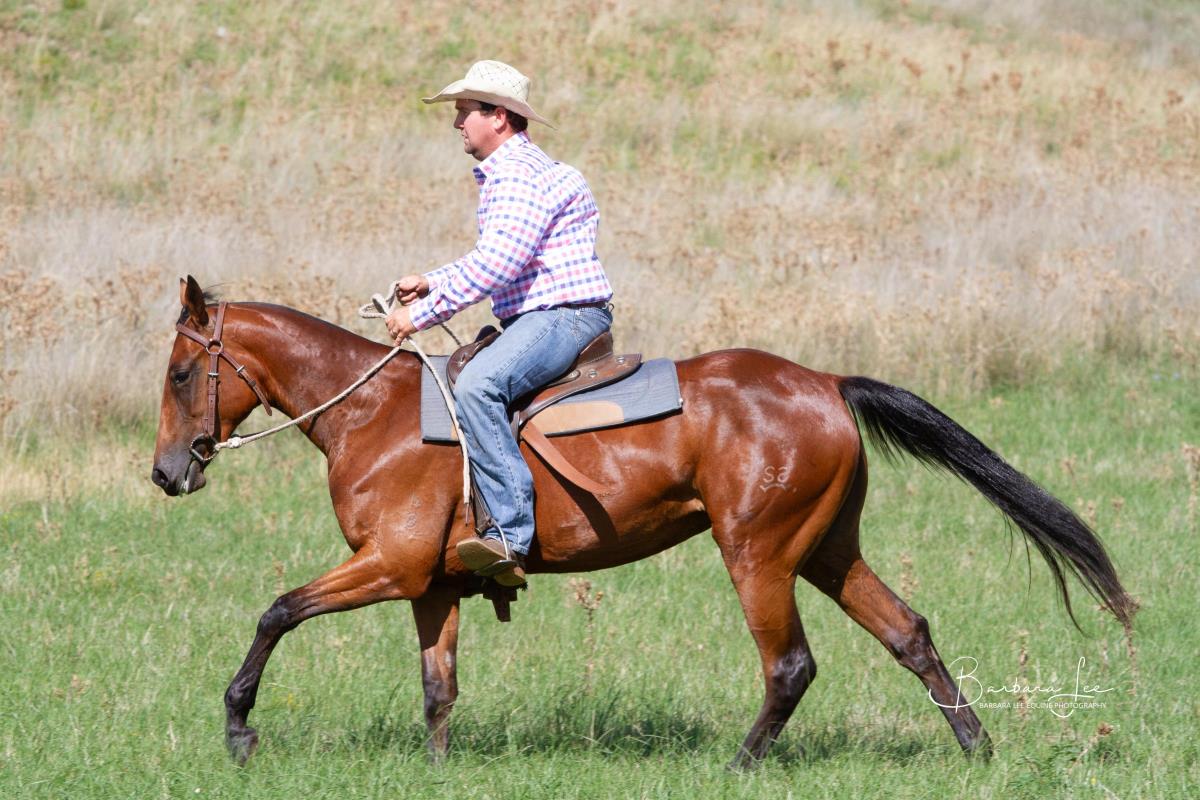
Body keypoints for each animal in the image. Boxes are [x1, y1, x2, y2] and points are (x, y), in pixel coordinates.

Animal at [151, 276, 1134, 766]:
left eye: (179, 372)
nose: (166, 472)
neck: (371, 415)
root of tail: (825, 382)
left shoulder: (387, 566)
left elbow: (277, 611)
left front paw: (238, 727)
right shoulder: (430, 583)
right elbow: (438, 689)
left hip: (759, 554)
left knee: (790, 665)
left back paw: (738, 767)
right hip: (827, 549)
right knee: (909, 633)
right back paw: (979, 751)